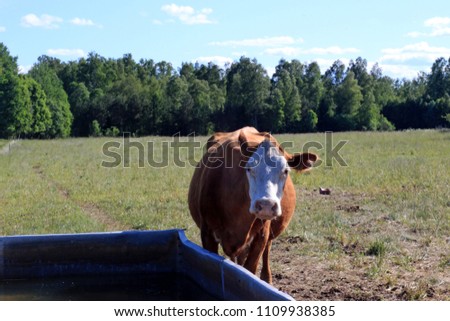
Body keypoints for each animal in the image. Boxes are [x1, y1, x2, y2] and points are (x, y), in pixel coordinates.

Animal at [188, 126, 318, 282]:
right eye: (249, 168)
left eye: (286, 171)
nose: (266, 205)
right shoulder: (207, 234)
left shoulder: (261, 236)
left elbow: (249, 269)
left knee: (266, 252)